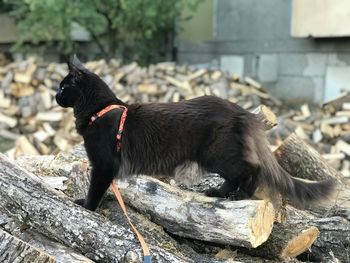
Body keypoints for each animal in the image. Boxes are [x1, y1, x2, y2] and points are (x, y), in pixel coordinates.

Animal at [56, 56, 334, 212]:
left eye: (62, 87)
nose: (56, 96)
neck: (99, 110)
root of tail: (241, 110)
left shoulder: (104, 164)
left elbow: (95, 189)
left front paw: (87, 207)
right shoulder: (106, 166)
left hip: (217, 153)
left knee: (252, 169)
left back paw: (241, 195)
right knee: (237, 174)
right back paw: (219, 193)